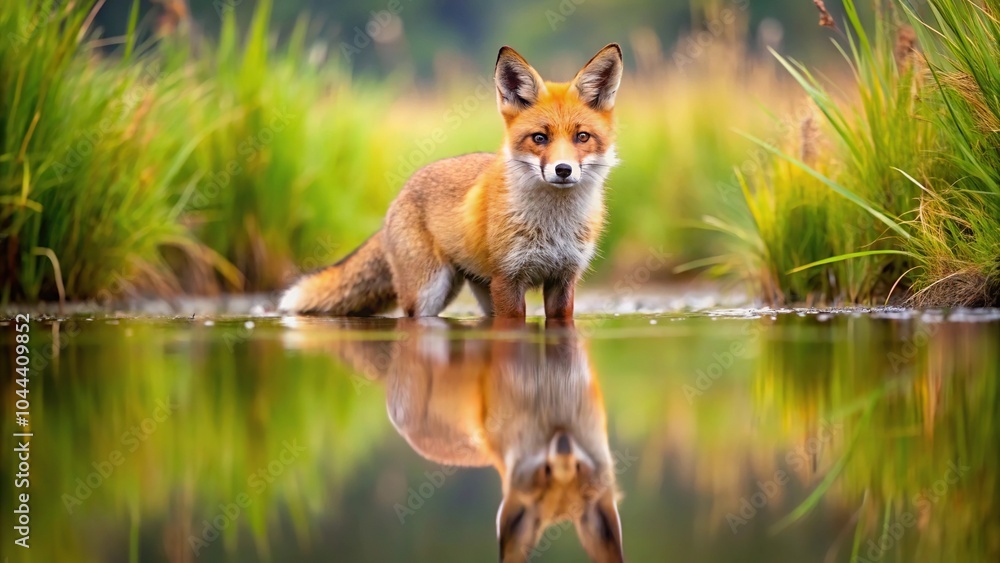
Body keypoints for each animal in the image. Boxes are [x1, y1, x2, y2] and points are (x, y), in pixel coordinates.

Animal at [279, 43, 624, 318]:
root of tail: (402, 191)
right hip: (429, 294)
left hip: (481, 292)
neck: (553, 226)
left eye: (582, 137)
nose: (563, 170)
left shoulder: (563, 280)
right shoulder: (508, 280)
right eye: (539, 138)